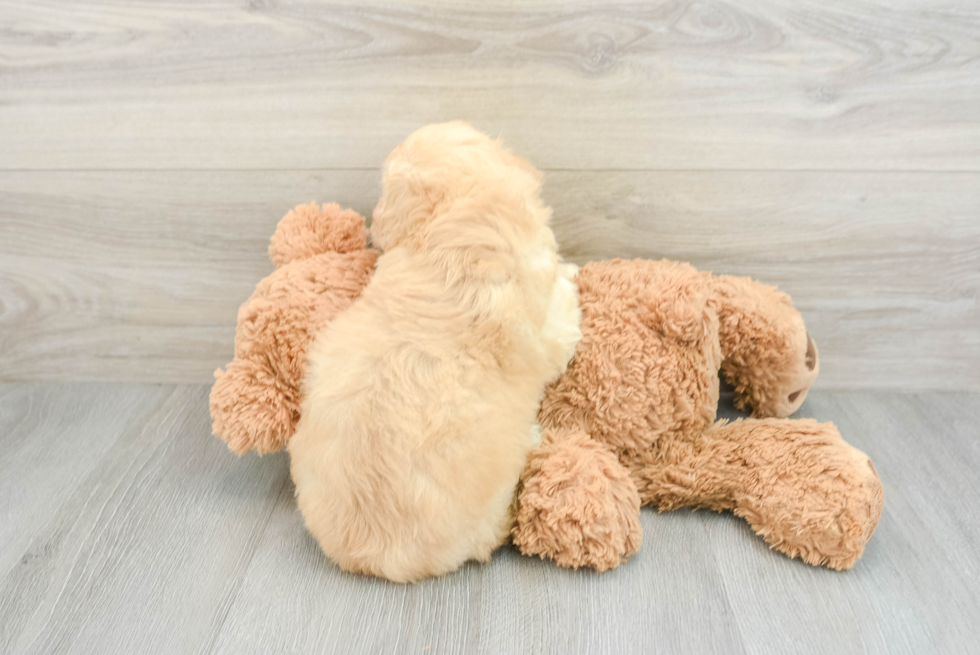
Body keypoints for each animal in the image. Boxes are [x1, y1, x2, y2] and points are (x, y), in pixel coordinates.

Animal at [288, 124, 580, 584]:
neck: (454, 218)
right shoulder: (546, 330)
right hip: (489, 513)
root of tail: (372, 555)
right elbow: (565, 313)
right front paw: (572, 276)